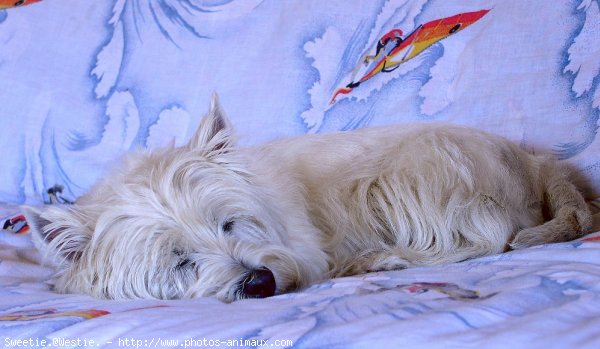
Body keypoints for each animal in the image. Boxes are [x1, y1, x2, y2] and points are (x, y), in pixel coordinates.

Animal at [22, 95, 592, 302]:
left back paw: (377, 260)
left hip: (412, 175)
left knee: (485, 238)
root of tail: (535, 160)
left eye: (229, 224)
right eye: (178, 261)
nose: (259, 282)